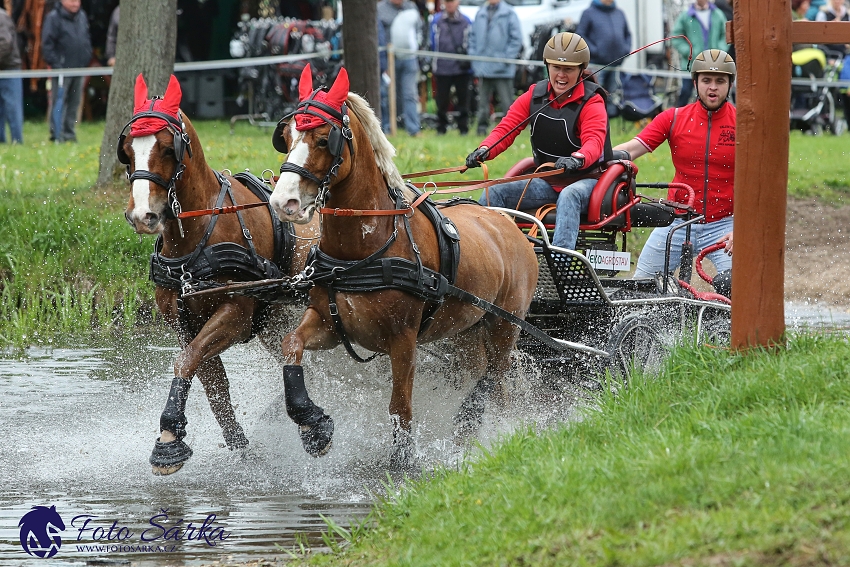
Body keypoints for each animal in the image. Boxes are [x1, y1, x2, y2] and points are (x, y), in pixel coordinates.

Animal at [121, 75, 316, 474]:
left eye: (168, 148)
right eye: (128, 149)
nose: (143, 215)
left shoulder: (235, 315)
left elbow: (186, 361)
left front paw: (167, 440)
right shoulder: (185, 326)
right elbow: (213, 385)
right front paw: (238, 445)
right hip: (276, 326)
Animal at [268, 65, 536, 466]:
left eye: (323, 140)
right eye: (285, 136)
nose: (282, 201)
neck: (365, 249)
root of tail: (512, 226)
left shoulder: (403, 340)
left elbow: (400, 407)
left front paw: (402, 460)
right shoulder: (329, 324)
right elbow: (291, 344)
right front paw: (313, 425)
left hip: (504, 326)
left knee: (494, 375)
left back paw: (474, 421)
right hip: (466, 333)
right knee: (493, 380)